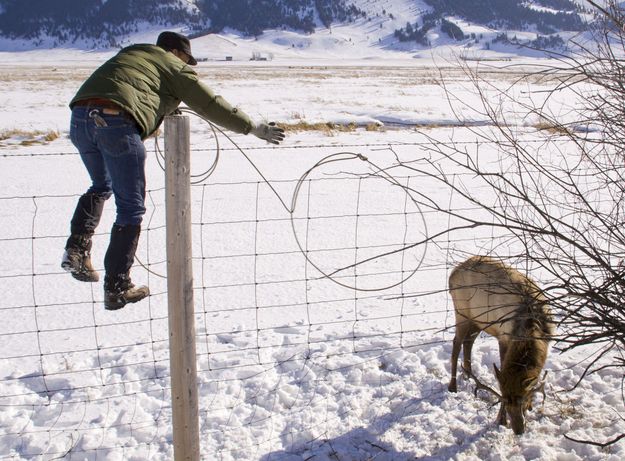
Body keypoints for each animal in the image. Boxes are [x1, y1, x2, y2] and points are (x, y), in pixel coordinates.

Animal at [448, 253, 552, 434]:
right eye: (504, 399)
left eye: (522, 401)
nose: (519, 430)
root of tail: (452, 274)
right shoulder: (503, 337)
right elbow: (503, 370)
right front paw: (501, 420)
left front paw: (531, 406)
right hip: (461, 312)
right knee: (456, 344)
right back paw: (453, 386)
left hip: (478, 320)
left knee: (468, 342)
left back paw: (468, 374)